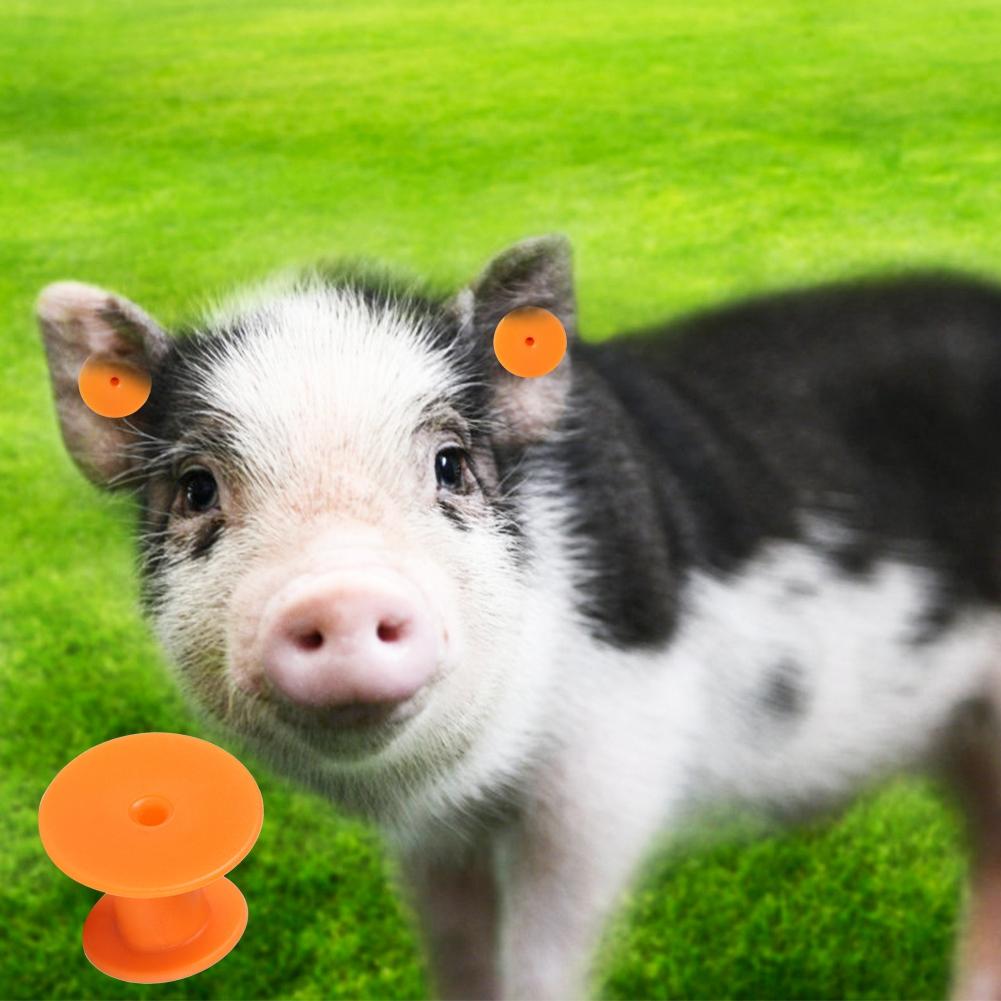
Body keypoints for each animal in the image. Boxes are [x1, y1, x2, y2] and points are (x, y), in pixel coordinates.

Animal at [36, 236, 1001, 1000]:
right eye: (197, 487)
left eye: (452, 464)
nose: (341, 593)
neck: (476, 785)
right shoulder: (434, 837)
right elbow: (458, 946)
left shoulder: (606, 770)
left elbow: (547, 948)